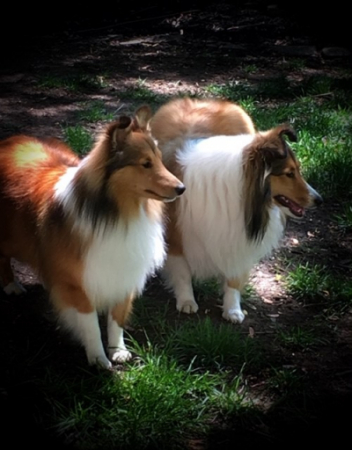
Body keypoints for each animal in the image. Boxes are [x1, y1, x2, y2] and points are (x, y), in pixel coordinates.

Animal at [0, 106, 186, 370]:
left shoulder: (123, 273)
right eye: (145, 164)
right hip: (10, 239)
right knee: (3, 258)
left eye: (159, 159)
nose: (182, 188)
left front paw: (118, 351)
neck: (117, 214)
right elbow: (90, 325)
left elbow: (116, 319)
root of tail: (10, 141)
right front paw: (98, 358)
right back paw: (11, 285)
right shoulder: (78, 283)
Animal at [150, 97, 324, 324]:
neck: (240, 191)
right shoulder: (176, 236)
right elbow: (182, 272)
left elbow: (233, 277)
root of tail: (204, 100)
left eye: (297, 171)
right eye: (289, 173)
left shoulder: (239, 238)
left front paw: (233, 310)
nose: (319, 200)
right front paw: (187, 301)